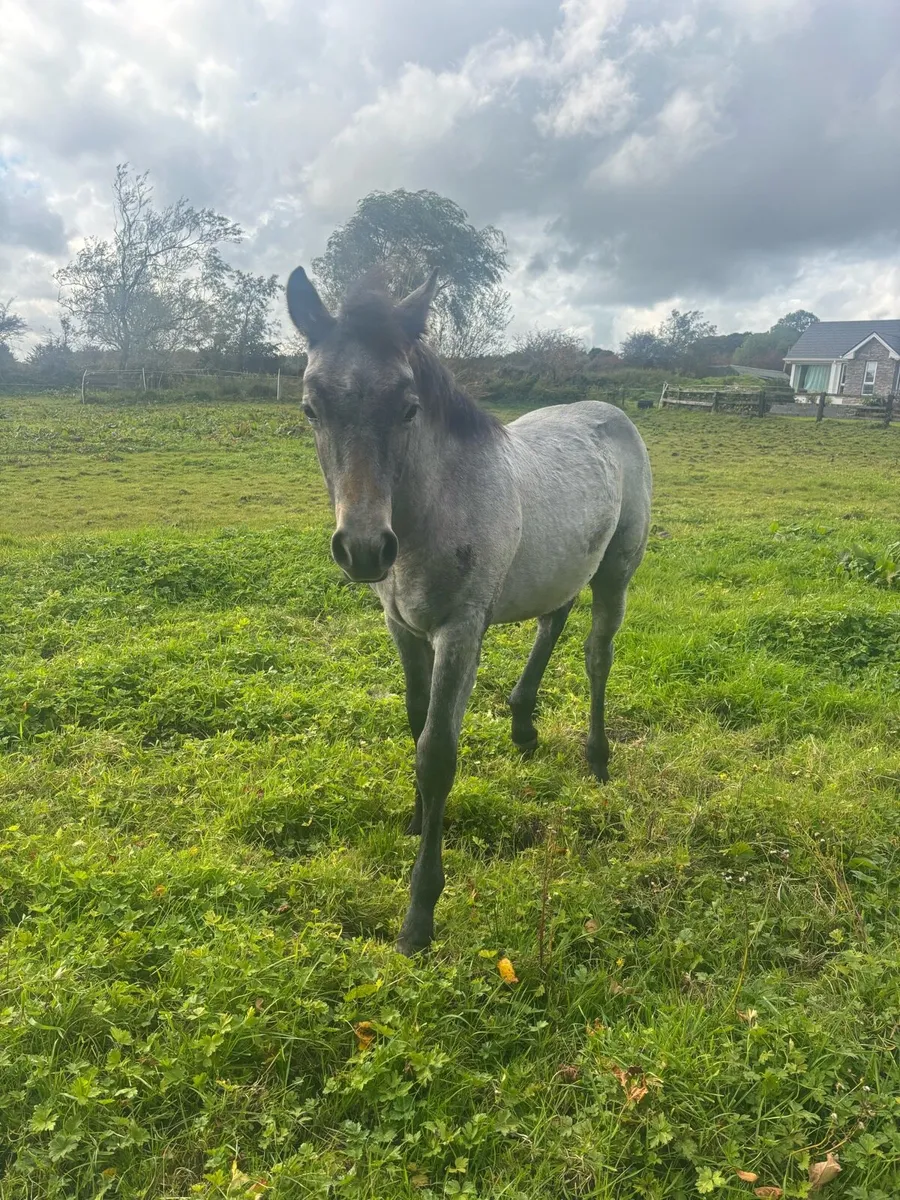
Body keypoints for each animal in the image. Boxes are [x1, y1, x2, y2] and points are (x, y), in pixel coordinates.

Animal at [286, 267, 652, 955]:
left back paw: (596, 759)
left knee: (597, 654)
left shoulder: (460, 632)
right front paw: (413, 819)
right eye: (310, 408)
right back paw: (523, 725)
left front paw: (419, 915)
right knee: (552, 620)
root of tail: (610, 411)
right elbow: (414, 723)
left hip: (616, 570)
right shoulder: (401, 626)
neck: (432, 509)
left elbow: (437, 753)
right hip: (560, 564)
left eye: (408, 406)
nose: (364, 548)